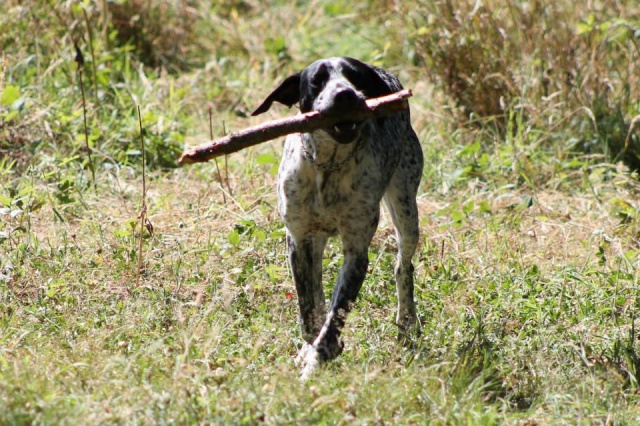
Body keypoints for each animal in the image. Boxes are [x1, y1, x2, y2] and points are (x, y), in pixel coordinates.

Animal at [251, 57, 424, 380]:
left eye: (356, 78)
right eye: (316, 81)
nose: (344, 95)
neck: (329, 165)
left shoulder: (356, 253)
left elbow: (335, 317)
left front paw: (321, 356)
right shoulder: (299, 242)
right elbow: (309, 312)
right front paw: (311, 349)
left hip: (406, 208)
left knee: (403, 266)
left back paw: (406, 321)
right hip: (315, 241)